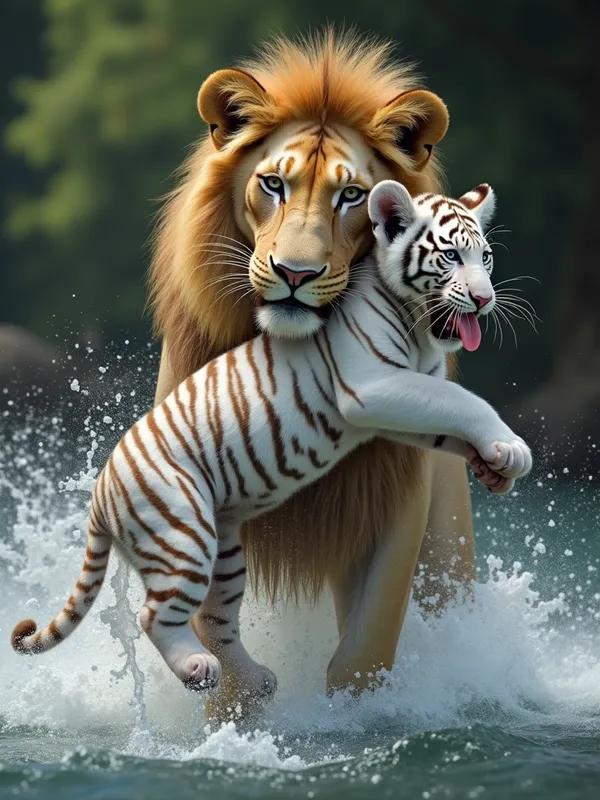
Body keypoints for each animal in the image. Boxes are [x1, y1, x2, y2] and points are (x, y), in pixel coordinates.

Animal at [11, 180, 532, 704]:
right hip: (184, 533)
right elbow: (465, 400)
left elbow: (448, 419)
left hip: (223, 554)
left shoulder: (403, 407)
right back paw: (197, 669)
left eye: (485, 257)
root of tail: (100, 496)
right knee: (154, 615)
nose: (485, 300)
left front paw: (498, 464)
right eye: (450, 256)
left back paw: (254, 679)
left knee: (215, 618)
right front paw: (514, 450)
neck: (421, 328)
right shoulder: (372, 386)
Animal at [149, 30, 475, 704]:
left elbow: (366, 651)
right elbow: (209, 621)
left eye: (351, 195)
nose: (295, 274)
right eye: (273, 184)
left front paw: (351, 718)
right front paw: (238, 699)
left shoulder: (392, 501)